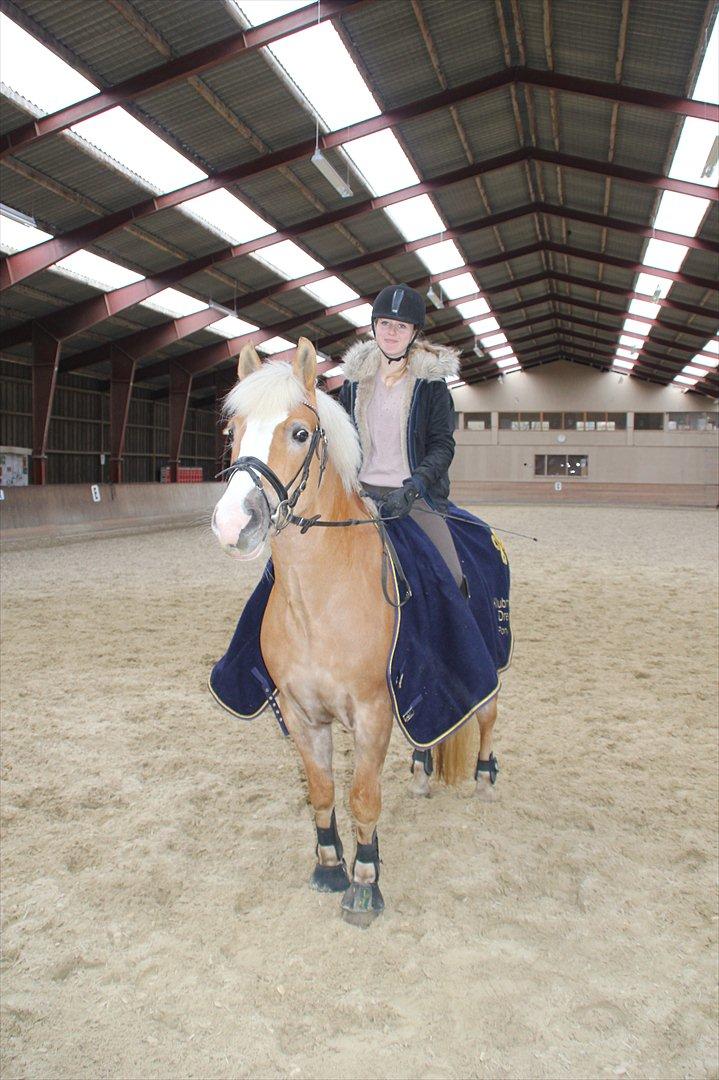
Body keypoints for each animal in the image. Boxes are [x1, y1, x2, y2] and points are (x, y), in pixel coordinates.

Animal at [210, 339, 496, 928]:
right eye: (233, 430)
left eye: (299, 433)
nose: (233, 524)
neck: (319, 600)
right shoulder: (301, 713)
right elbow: (322, 791)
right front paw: (328, 866)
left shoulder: (372, 712)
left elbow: (363, 796)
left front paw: (365, 881)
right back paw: (422, 770)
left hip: (490, 658)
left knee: (487, 713)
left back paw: (484, 776)